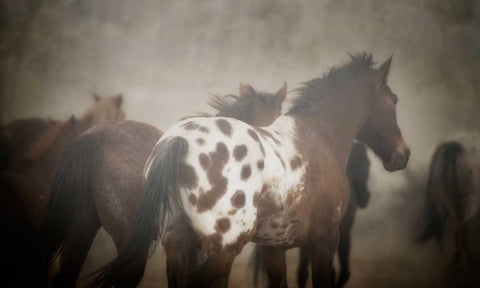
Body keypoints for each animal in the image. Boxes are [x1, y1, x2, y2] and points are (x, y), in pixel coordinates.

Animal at [89, 53, 408, 286]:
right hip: (222, 249)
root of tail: (177, 142)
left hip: (177, 244)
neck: (319, 136)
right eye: (394, 100)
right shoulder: (325, 239)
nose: (403, 155)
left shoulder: (272, 247)